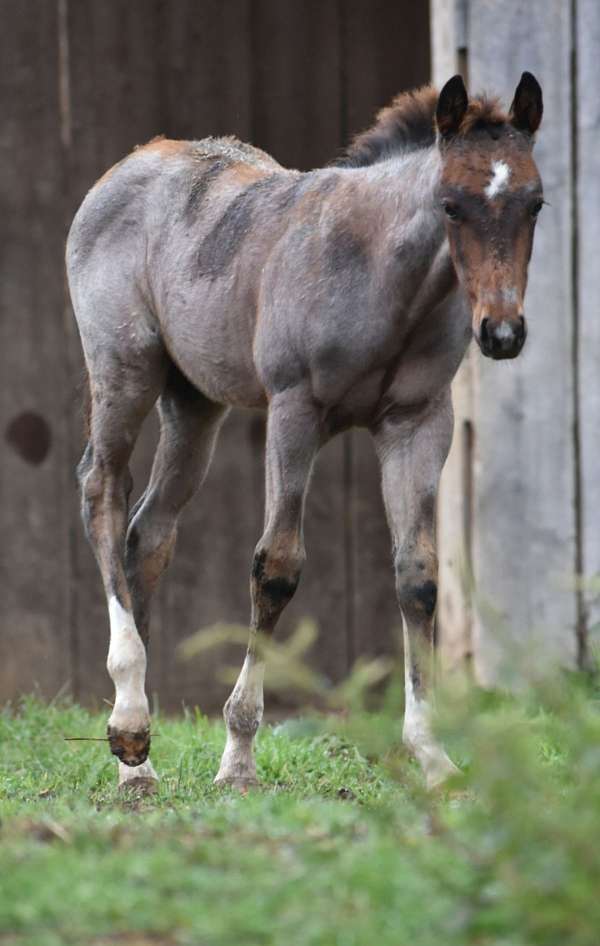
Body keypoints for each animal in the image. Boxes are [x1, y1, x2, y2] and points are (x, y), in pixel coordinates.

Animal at [67, 75, 544, 788]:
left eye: (535, 204)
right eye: (452, 206)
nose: (503, 332)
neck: (384, 279)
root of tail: (126, 165)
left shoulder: (417, 423)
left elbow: (419, 575)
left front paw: (432, 756)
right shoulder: (294, 411)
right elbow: (277, 568)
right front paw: (238, 759)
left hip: (194, 404)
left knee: (148, 533)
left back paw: (136, 762)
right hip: (123, 368)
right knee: (101, 489)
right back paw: (128, 723)